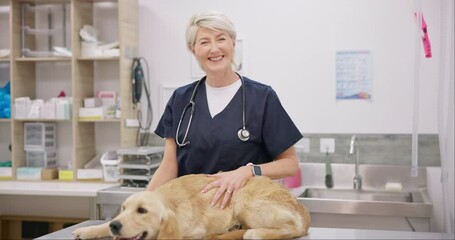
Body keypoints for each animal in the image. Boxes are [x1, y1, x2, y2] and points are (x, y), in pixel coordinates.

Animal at [73, 173, 312, 239]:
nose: (116, 227)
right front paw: (88, 230)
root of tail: (305, 213)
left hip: (245, 203)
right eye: (123, 208)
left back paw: (252, 232)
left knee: (290, 229)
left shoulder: (193, 231)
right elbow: (102, 225)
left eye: (142, 211)